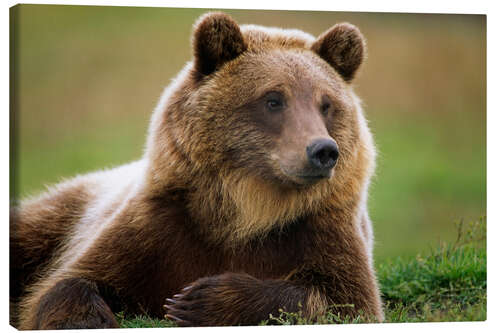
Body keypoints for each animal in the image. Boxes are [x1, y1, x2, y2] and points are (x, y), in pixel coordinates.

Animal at [10, 11, 382, 328]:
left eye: (326, 104)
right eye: (273, 99)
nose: (323, 151)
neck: (249, 209)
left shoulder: (319, 230)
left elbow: (342, 299)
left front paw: (199, 300)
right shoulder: (159, 225)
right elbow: (71, 280)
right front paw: (87, 318)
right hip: (67, 209)